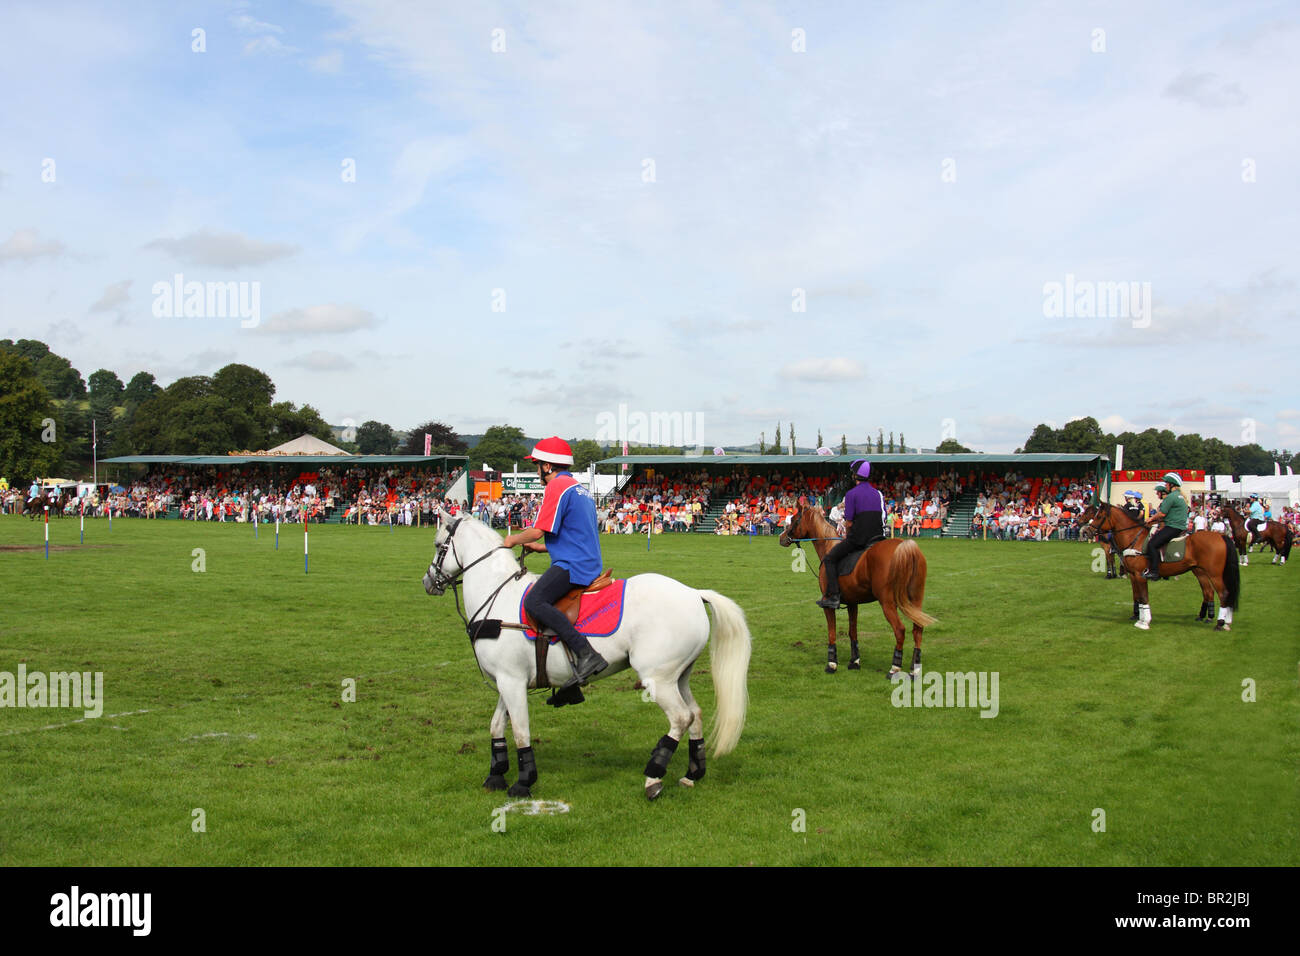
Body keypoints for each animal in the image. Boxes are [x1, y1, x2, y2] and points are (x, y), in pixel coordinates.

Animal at [423, 509, 754, 801]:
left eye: (439, 545)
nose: (428, 582)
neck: (498, 595)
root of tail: (693, 593)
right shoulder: (508, 681)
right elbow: (496, 726)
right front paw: (495, 775)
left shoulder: (512, 681)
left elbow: (520, 732)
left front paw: (523, 782)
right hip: (678, 675)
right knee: (695, 714)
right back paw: (692, 773)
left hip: (657, 679)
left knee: (681, 717)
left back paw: (653, 777)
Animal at [780, 504, 935, 676]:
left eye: (794, 519)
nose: (782, 537)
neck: (828, 547)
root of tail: (904, 547)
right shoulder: (853, 603)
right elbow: (852, 631)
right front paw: (854, 661)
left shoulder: (828, 604)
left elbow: (832, 632)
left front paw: (832, 664)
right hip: (916, 600)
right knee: (918, 629)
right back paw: (915, 669)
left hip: (887, 603)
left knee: (900, 630)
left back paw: (894, 668)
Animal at [1086, 504, 1237, 632]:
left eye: (1099, 516)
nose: (1087, 531)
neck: (1134, 539)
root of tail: (1221, 536)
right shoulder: (1133, 575)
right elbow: (1137, 596)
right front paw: (1137, 616)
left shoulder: (1140, 575)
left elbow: (1143, 597)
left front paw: (1144, 622)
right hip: (1199, 571)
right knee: (1209, 592)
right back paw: (1215, 619)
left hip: (1214, 574)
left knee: (1223, 593)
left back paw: (1220, 623)